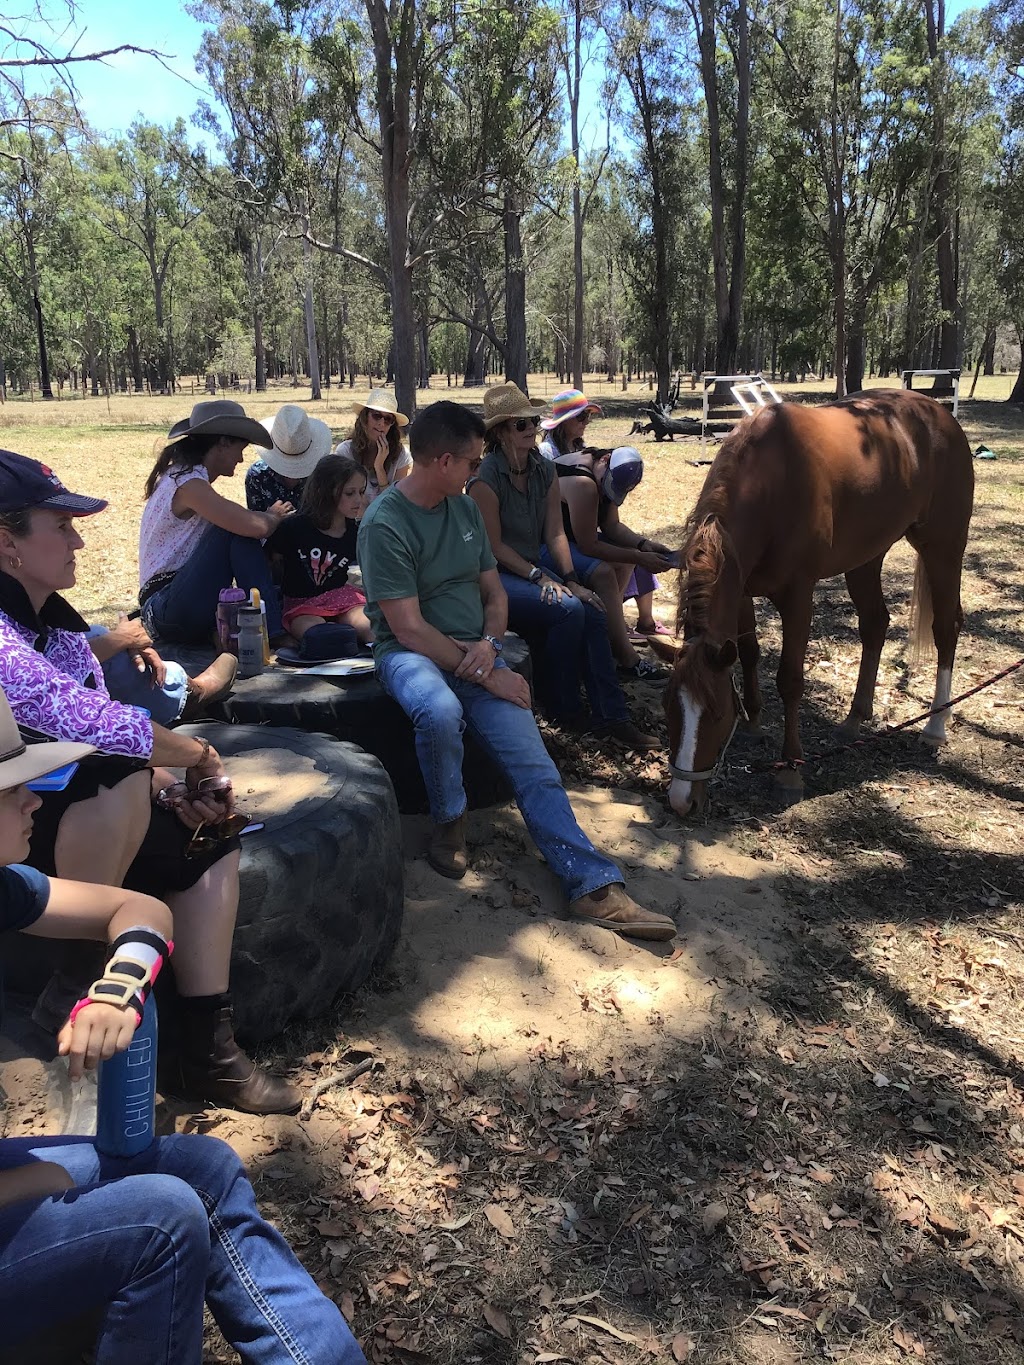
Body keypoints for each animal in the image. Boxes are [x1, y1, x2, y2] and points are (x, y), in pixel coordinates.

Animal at [658, 390, 977, 813]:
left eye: (715, 713)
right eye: (668, 706)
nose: (681, 802)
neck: (769, 482)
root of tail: (939, 414)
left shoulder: (798, 595)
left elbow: (790, 679)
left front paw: (790, 771)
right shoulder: (739, 588)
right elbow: (749, 652)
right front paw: (754, 723)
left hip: (942, 546)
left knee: (945, 627)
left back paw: (936, 726)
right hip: (866, 556)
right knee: (875, 623)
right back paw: (855, 718)